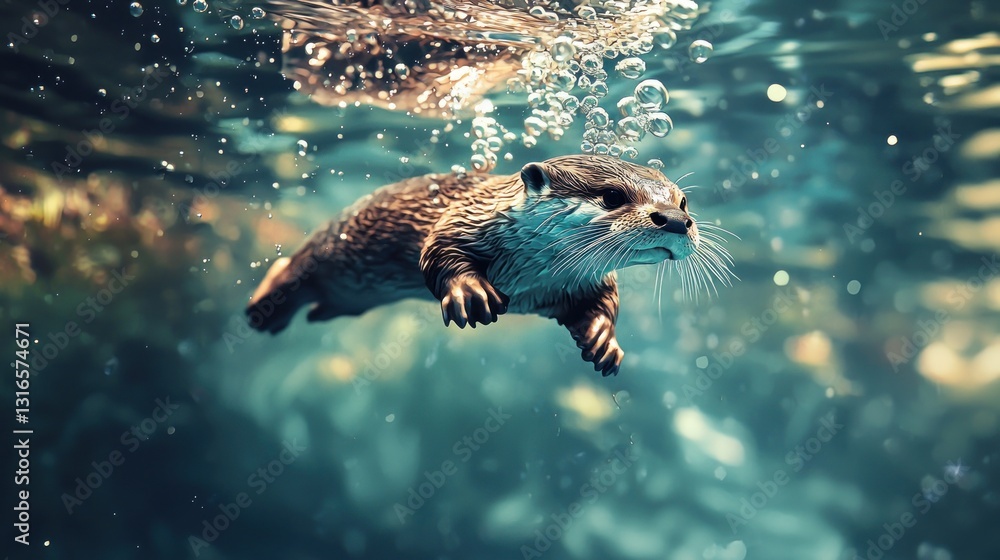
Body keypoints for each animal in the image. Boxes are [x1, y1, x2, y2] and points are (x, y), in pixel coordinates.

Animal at [246, 155, 724, 376]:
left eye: (683, 201)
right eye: (611, 196)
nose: (676, 220)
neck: (531, 267)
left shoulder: (576, 281)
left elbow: (601, 303)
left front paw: (603, 339)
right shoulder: (461, 217)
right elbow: (438, 251)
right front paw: (470, 292)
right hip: (330, 247)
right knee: (292, 265)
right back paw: (263, 307)